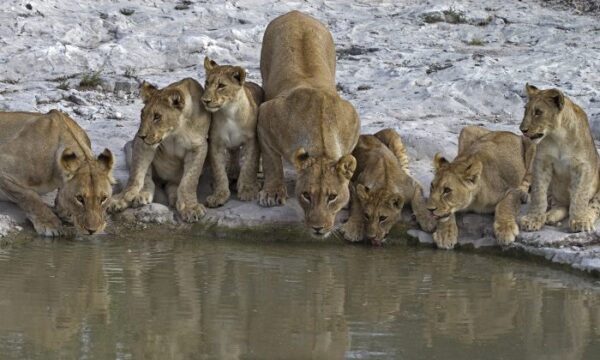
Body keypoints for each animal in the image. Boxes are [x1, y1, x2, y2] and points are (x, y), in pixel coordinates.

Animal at [108, 77, 211, 221]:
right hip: (130, 146)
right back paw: (141, 196)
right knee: (148, 178)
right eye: (142, 115)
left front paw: (190, 207)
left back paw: (175, 199)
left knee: (173, 184)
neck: (176, 131)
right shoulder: (143, 145)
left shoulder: (199, 146)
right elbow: (136, 175)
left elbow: (189, 180)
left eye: (157, 116)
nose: (141, 136)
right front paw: (121, 199)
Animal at [202, 56, 264, 208]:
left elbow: (249, 165)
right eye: (207, 83)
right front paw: (219, 195)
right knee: (234, 153)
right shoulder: (215, 142)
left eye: (221, 85)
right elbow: (218, 171)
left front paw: (248, 190)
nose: (205, 100)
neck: (228, 111)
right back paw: (232, 172)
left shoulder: (252, 140)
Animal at [258, 10, 360, 236]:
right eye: (306, 195)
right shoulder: (266, 114)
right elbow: (271, 160)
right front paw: (272, 192)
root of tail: (295, 12)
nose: (318, 228)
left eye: (332, 197)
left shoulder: (353, 120)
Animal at [516, 83, 600, 232]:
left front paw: (580, 221)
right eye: (525, 110)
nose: (522, 130)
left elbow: (580, 195)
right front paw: (533, 219)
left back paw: (587, 217)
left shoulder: (583, 166)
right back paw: (549, 216)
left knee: (593, 207)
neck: (558, 137)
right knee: (559, 204)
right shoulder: (541, 162)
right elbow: (538, 195)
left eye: (538, 112)